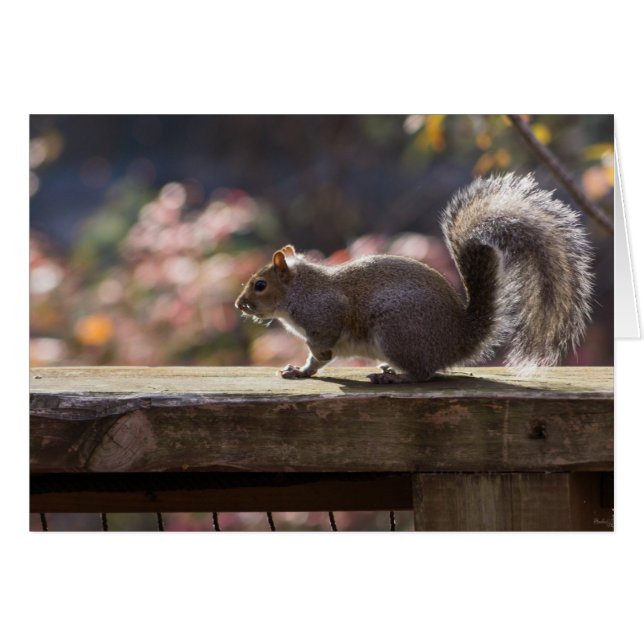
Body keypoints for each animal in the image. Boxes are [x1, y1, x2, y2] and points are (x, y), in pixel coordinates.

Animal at [235, 174, 593, 383]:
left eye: (260, 285)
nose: (240, 304)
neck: (298, 290)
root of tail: (459, 338)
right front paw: (300, 370)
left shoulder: (324, 312)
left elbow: (323, 345)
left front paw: (315, 360)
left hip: (396, 330)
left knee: (423, 374)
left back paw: (394, 377)